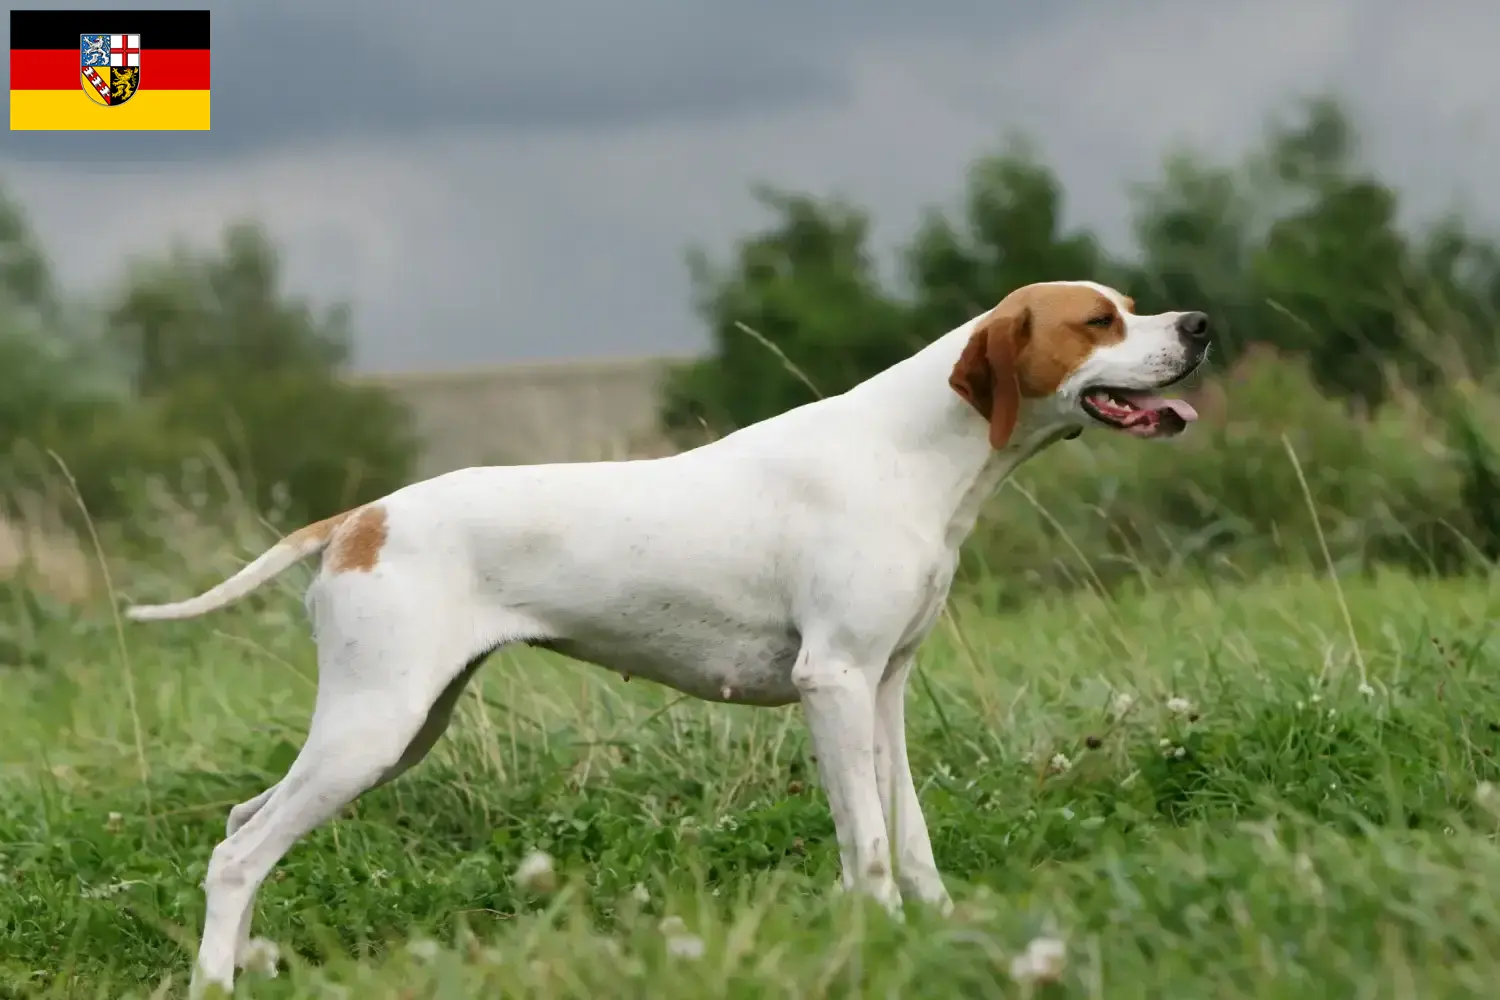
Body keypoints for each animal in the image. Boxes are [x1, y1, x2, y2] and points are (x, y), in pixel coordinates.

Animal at [126, 280, 1206, 995]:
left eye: (1131, 304)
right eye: (1099, 320)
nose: (1198, 325)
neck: (910, 451)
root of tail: (359, 517)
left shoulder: (885, 689)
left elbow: (909, 834)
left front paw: (939, 928)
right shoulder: (834, 683)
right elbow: (864, 844)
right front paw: (881, 936)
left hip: (396, 729)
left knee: (244, 824)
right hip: (373, 726)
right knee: (239, 852)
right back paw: (215, 981)